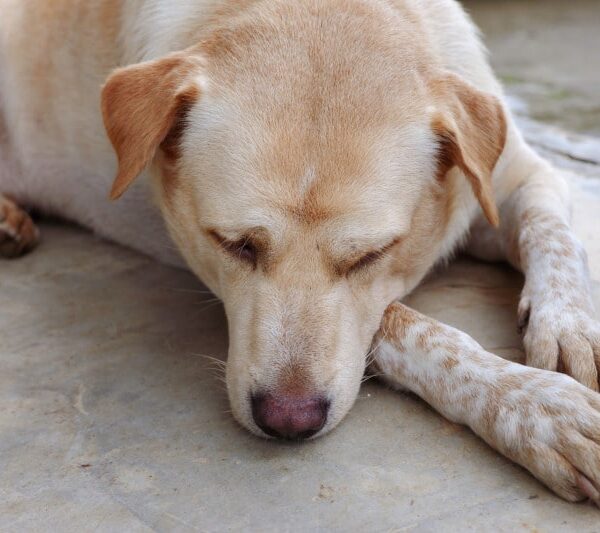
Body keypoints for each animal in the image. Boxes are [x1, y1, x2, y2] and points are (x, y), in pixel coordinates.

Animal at [1, 0, 600, 502]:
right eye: (235, 245)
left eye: (371, 254)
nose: (288, 421)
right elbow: (409, 325)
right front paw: (539, 407)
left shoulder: (522, 177)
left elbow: (554, 235)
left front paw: (570, 331)